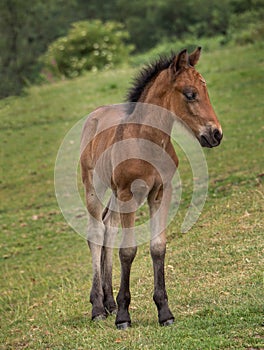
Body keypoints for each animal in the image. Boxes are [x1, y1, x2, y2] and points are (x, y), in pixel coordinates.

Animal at [80, 46, 223, 328]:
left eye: (206, 89)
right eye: (190, 94)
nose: (216, 134)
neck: (146, 140)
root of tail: (94, 115)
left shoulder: (159, 193)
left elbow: (158, 247)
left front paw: (164, 312)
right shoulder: (128, 194)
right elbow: (128, 251)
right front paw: (124, 316)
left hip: (116, 194)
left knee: (109, 227)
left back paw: (109, 302)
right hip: (95, 187)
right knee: (96, 232)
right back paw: (98, 307)